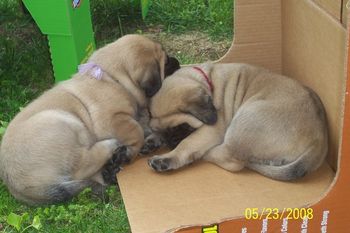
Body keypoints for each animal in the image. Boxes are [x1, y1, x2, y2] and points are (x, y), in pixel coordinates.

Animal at [0, 33, 179, 205]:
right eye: (166, 61)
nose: (177, 62)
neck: (113, 78)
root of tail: (17, 185)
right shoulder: (111, 119)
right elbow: (136, 131)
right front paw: (131, 151)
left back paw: (110, 172)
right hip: (65, 122)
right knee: (82, 165)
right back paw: (111, 148)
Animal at [148, 62, 328, 181]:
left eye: (184, 126)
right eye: (163, 131)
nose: (171, 141)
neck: (207, 81)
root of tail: (319, 141)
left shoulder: (211, 129)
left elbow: (186, 144)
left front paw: (169, 156)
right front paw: (153, 139)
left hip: (245, 119)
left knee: (230, 160)